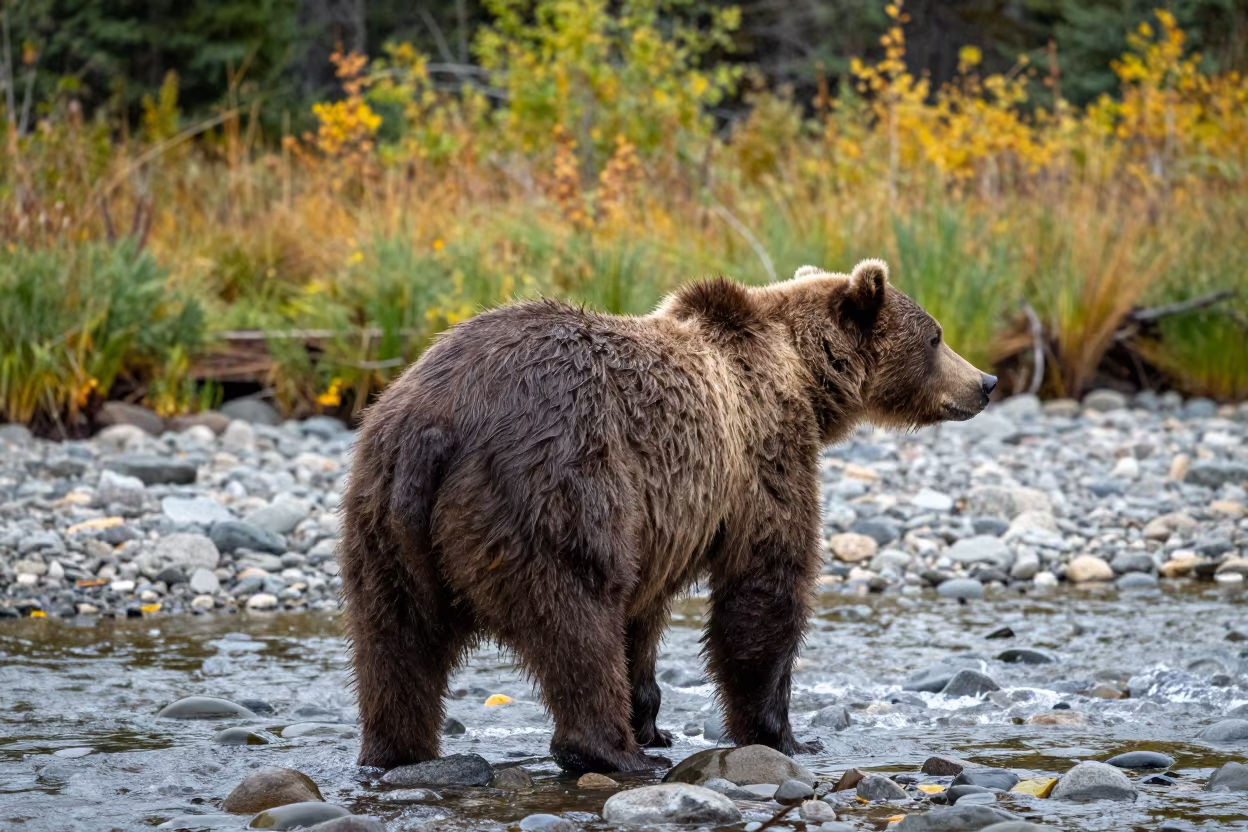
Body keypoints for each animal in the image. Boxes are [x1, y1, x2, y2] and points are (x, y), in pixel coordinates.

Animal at [338, 258, 996, 774]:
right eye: (936, 336)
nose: (986, 381)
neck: (802, 376)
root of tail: (438, 423)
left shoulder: (661, 521)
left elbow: (644, 618)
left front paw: (655, 721)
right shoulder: (762, 452)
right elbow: (765, 584)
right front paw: (785, 734)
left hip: (378, 508)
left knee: (394, 641)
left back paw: (397, 750)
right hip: (553, 487)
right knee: (577, 616)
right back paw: (612, 751)